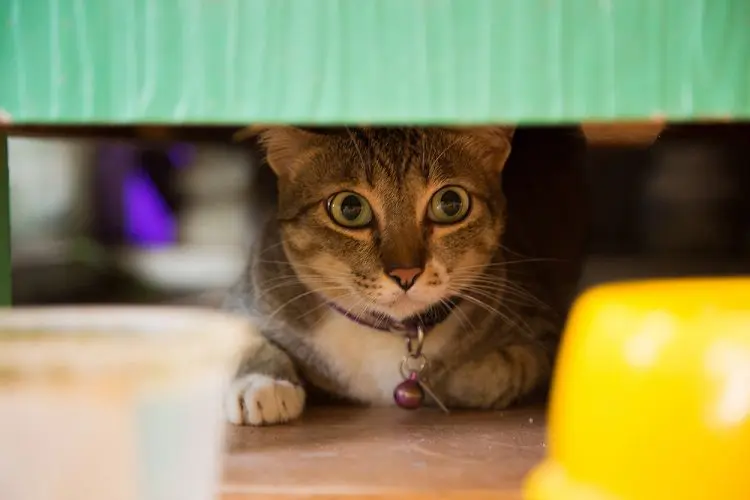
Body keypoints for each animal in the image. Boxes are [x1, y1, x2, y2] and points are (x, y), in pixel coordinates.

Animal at [223, 126, 588, 426]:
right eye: (349, 208)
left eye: (451, 203)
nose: (406, 273)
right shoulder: (254, 288)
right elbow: (243, 338)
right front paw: (263, 384)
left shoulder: (541, 326)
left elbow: (509, 367)